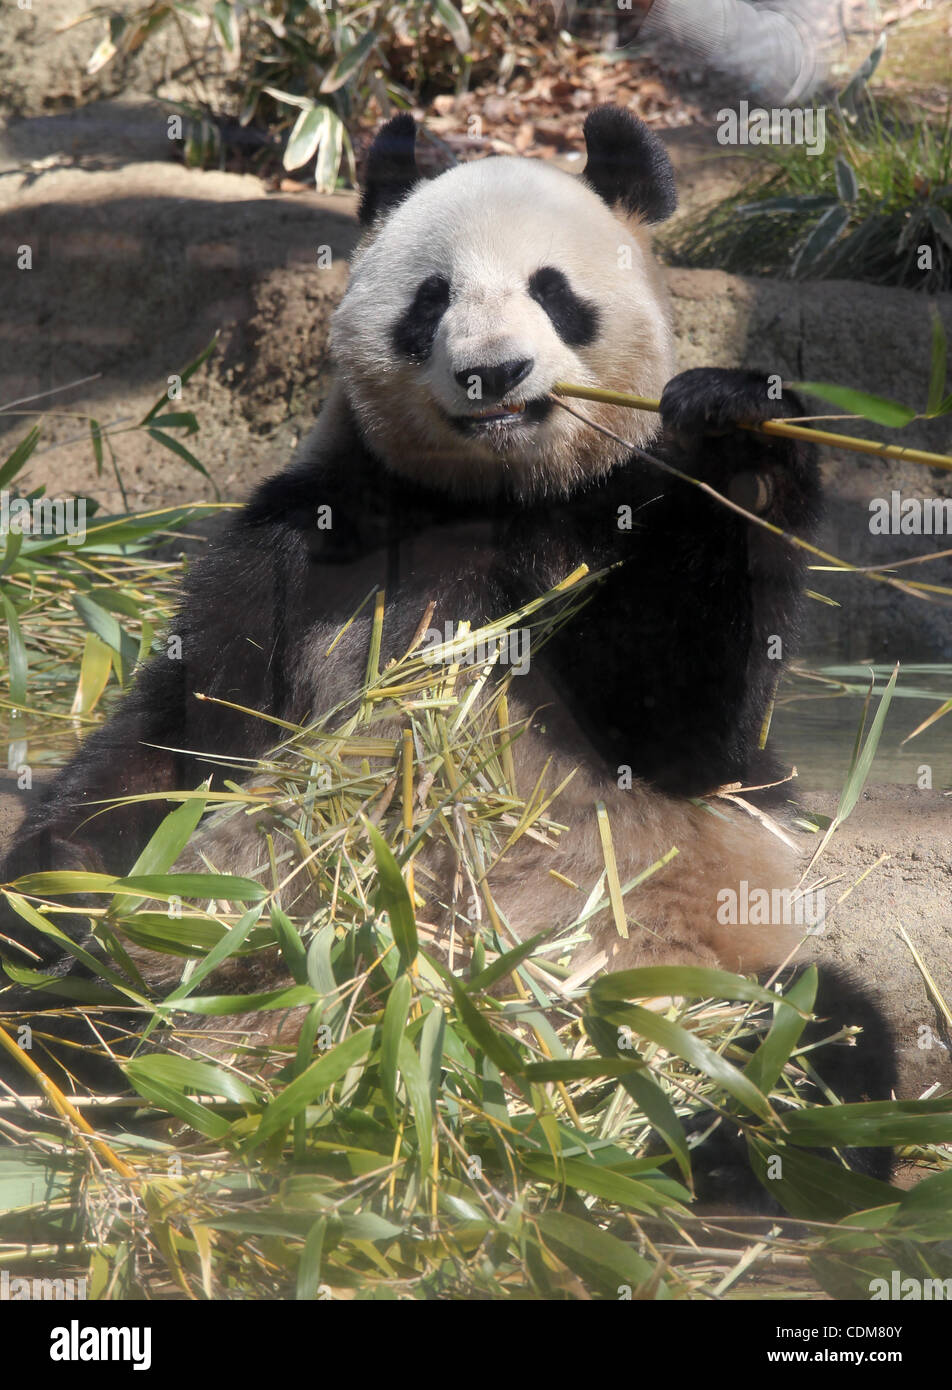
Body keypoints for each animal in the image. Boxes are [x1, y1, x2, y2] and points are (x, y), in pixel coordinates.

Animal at [0, 102, 889, 1200]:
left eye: (554, 292)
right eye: (431, 298)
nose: (491, 371)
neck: (488, 498)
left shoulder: (598, 533)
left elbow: (692, 738)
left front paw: (737, 429)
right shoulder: (307, 536)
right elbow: (184, 731)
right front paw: (55, 885)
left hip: (679, 968)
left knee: (814, 1037)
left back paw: (699, 1140)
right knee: (99, 997)